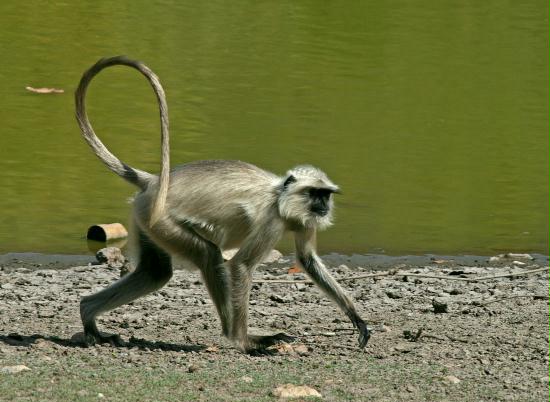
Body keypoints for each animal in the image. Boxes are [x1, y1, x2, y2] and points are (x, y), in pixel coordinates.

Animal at [75, 56, 370, 354]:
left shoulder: (300, 220)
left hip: (146, 220)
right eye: (314, 193)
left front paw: (357, 319)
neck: (280, 197)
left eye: (326, 194)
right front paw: (245, 341)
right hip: (161, 221)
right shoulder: (271, 221)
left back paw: (88, 315)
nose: (323, 205)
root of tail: (155, 182)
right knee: (208, 255)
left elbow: (308, 260)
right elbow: (241, 266)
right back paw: (236, 337)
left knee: (155, 272)